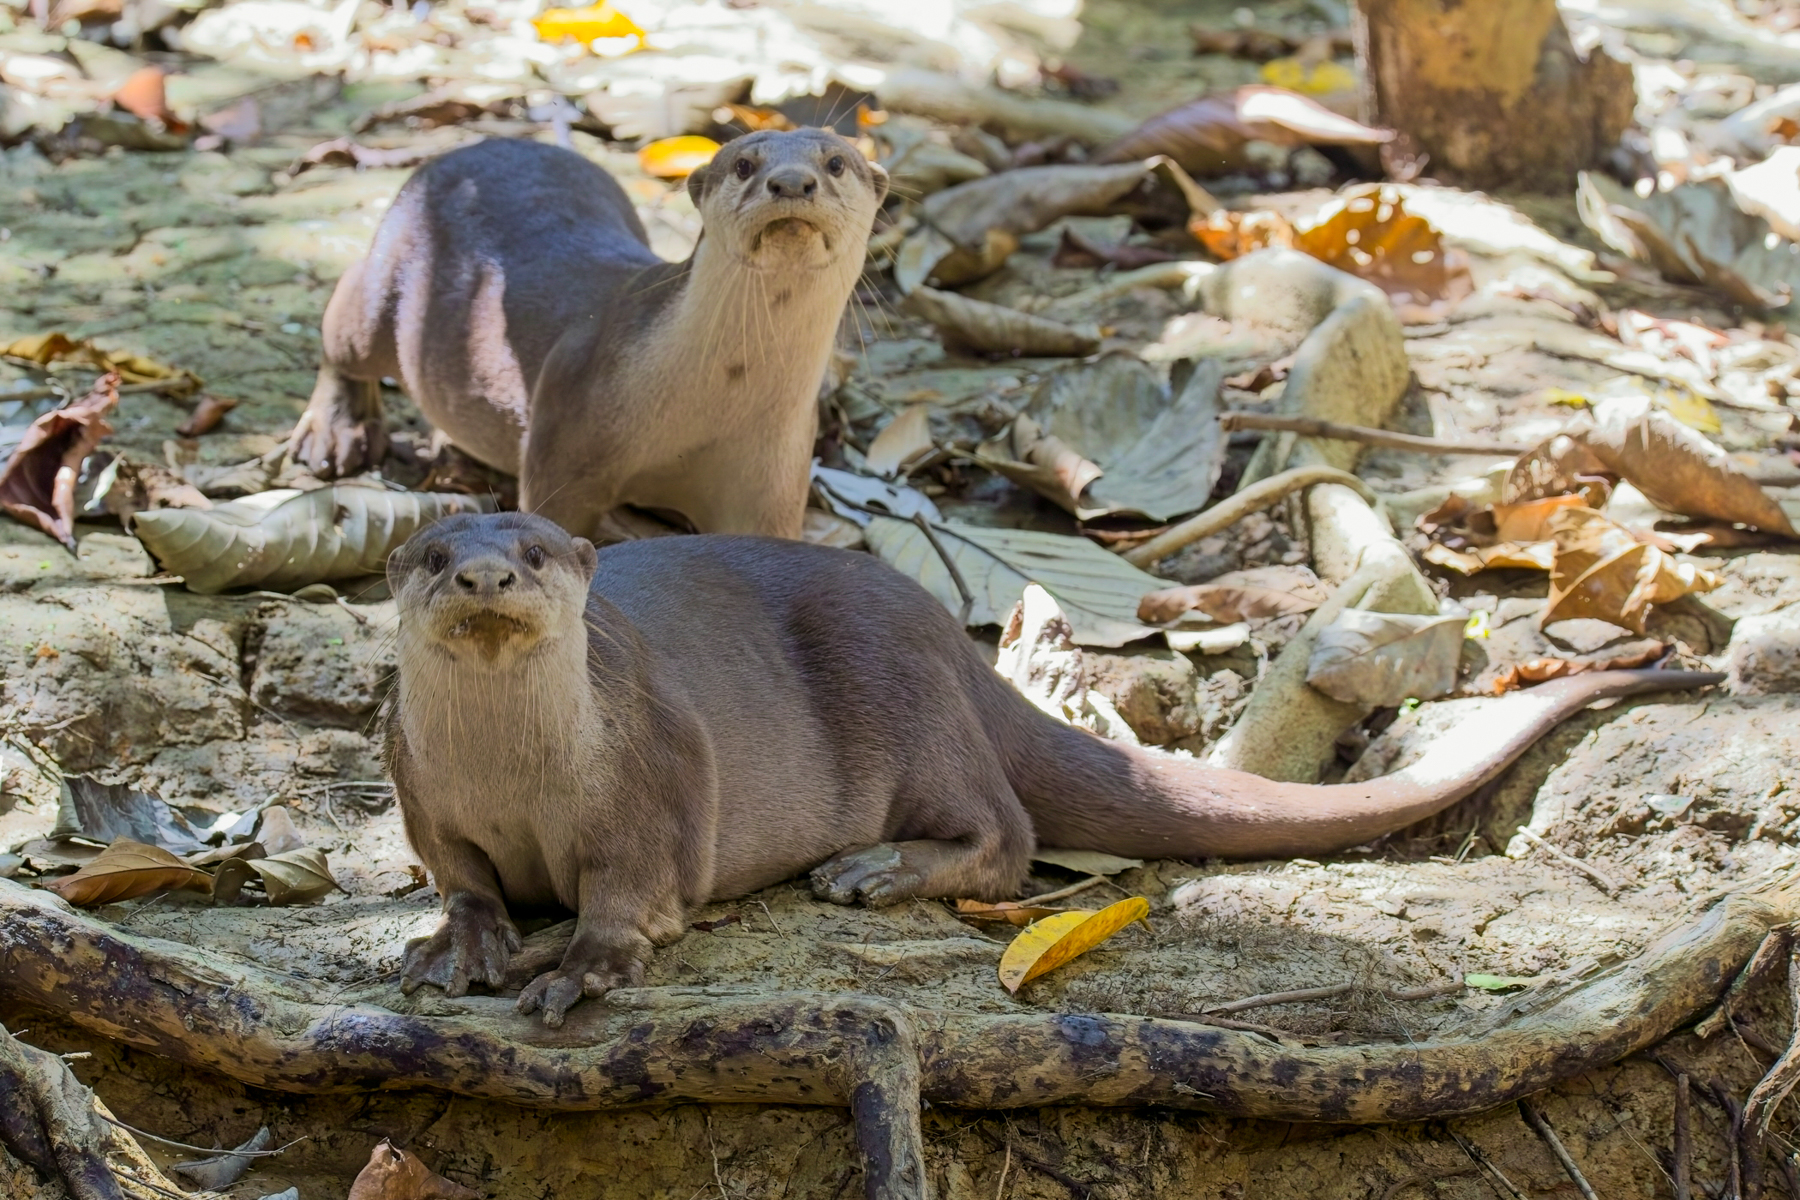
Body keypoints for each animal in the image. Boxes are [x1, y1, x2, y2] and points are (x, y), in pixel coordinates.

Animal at [290, 131, 887, 540]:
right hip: (384, 291)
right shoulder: (567, 423)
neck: (720, 393)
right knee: (346, 321)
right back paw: (338, 433)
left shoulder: (773, 472)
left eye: (835, 162)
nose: (791, 182)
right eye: (744, 165)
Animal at [387, 513, 1721, 1025]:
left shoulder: (654, 781)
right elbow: (462, 877)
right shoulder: (424, 794)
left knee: (1009, 837)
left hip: (904, 703)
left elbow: (633, 899)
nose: (485, 576)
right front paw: (462, 942)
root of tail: (947, 633)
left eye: (536, 553)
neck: (516, 775)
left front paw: (578, 970)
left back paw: (873, 873)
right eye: (435, 552)